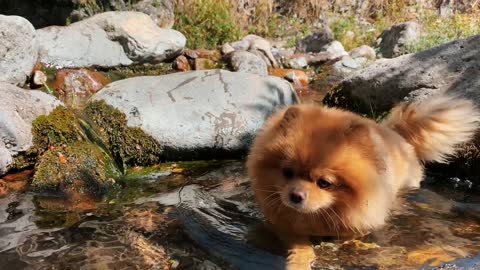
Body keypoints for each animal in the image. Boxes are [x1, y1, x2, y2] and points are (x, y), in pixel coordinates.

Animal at [248, 95, 480, 268]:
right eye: (287, 172)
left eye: (324, 183)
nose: (295, 195)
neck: (320, 213)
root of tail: (397, 133)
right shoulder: (287, 227)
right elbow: (300, 247)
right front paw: (299, 262)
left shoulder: (354, 229)